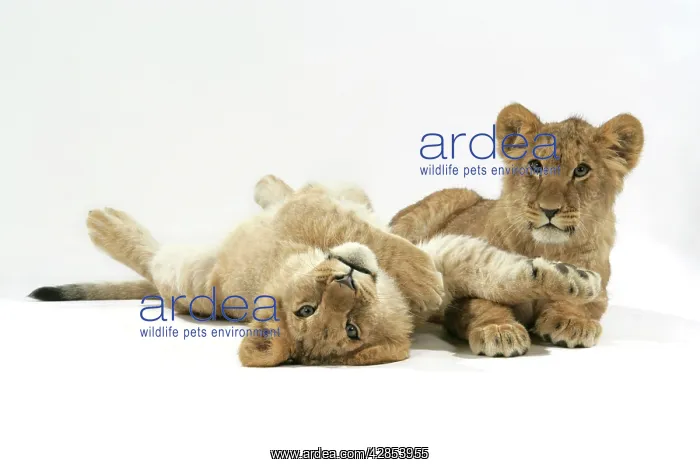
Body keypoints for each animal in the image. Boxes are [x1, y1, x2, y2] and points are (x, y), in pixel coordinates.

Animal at [29, 175, 603, 365]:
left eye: (348, 326)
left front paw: (576, 281)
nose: (346, 278)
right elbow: (373, 237)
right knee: (151, 258)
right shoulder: (307, 219)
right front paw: (424, 281)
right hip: (188, 280)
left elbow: (503, 272)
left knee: (300, 187)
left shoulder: (443, 250)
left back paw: (272, 182)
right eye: (309, 312)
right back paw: (103, 222)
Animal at [390, 103, 644, 356]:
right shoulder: (459, 295)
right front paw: (500, 330)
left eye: (581, 170)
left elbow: (582, 299)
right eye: (535, 165)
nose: (549, 209)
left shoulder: (600, 292)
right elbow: (484, 302)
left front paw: (573, 321)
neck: (546, 248)